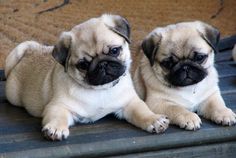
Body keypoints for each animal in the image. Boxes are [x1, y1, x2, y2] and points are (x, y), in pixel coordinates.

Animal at [4, 14, 169, 141]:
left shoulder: (130, 102)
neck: (100, 90)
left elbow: (142, 111)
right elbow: (58, 116)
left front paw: (154, 120)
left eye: (115, 51)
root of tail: (30, 50)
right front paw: (56, 128)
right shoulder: (58, 106)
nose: (102, 64)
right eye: (83, 65)